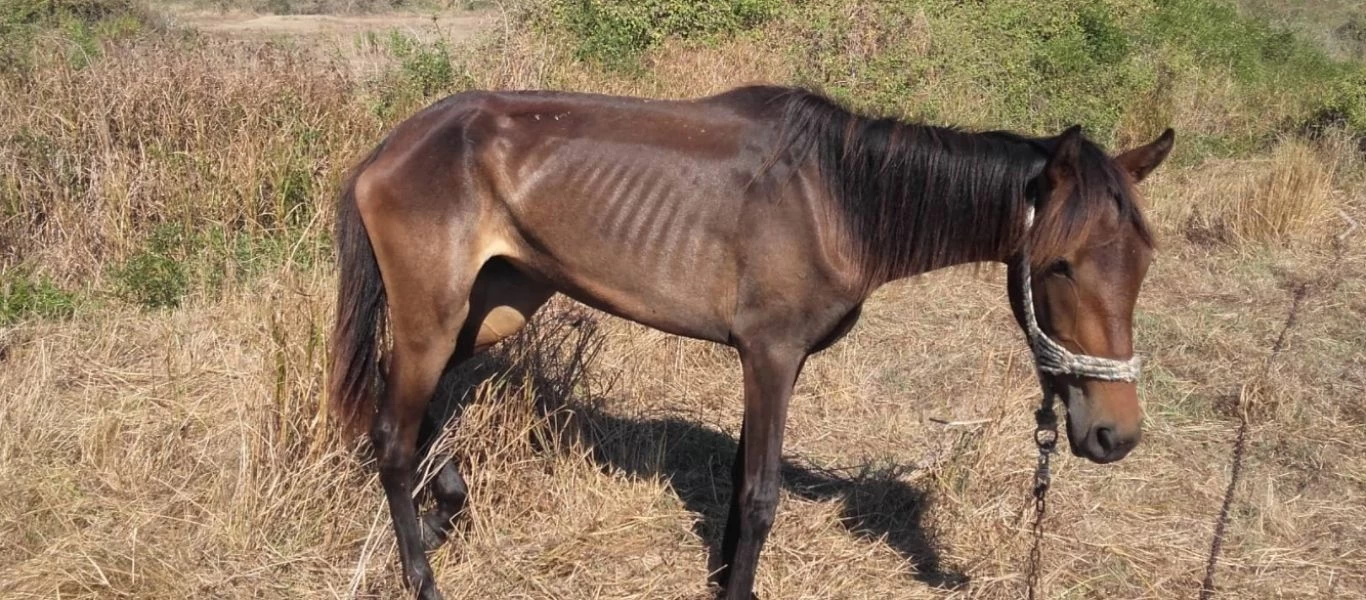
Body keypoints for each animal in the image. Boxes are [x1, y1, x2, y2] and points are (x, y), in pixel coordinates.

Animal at [327, 85, 1174, 600]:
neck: (838, 198)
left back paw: (445, 510)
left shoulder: (774, 364)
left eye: (1143, 261)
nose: (1115, 433)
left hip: (493, 306)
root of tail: (390, 148)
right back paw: (423, 574)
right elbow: (762, 496)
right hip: (432, 315)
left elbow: (740, 487)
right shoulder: (768, 355)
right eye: (1059, 265)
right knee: (393, 435)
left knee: (429, 410)